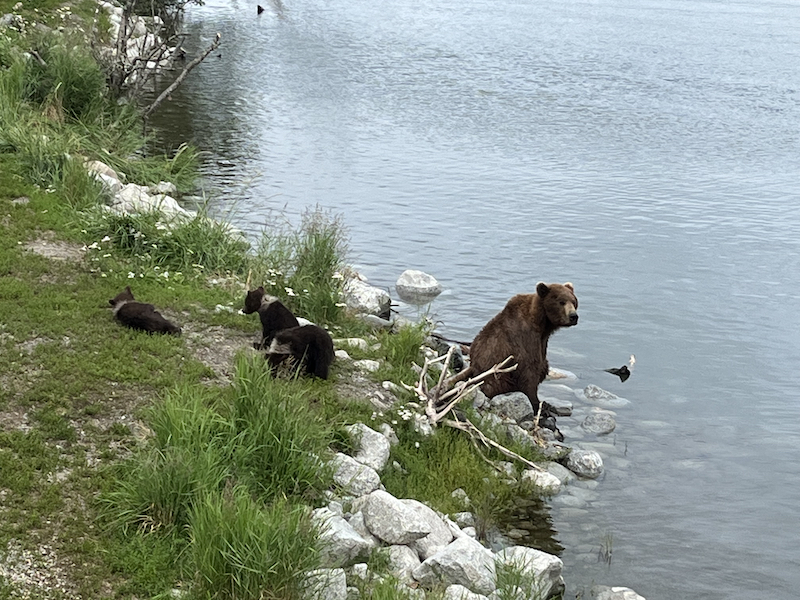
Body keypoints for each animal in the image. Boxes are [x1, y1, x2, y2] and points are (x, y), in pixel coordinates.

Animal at [450, 282, 576, 412]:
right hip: (495, 376)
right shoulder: (525, 339)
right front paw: (539, 405)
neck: (542, 325)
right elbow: (529, 373)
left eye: (574, 301)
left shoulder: (542, 341)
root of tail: (473, 366)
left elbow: (541, 366)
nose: (573, 316)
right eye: (561, 302)